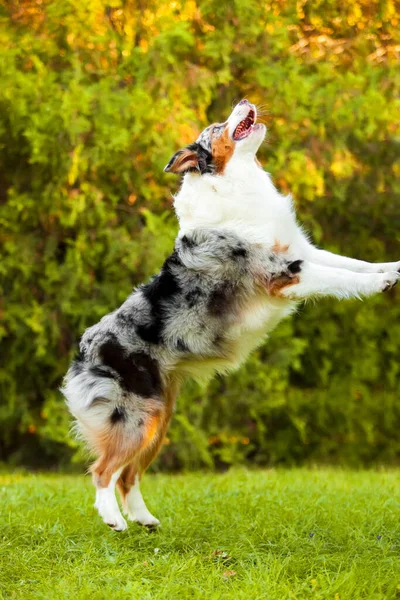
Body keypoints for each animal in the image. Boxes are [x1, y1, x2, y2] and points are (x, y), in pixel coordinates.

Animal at [61, 101, 398, 532]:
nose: (244, 101)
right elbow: (340, 277)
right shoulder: (283, 272)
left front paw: (393, 268)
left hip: (159, 415)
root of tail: (83, 348)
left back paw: (145, 520)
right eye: (218, 126)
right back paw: (113, 519)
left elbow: (353, 263)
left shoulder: (302, 252)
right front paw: (382, 282)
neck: (235, 182)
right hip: (134, 415)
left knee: (129, 474)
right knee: (103, 471)